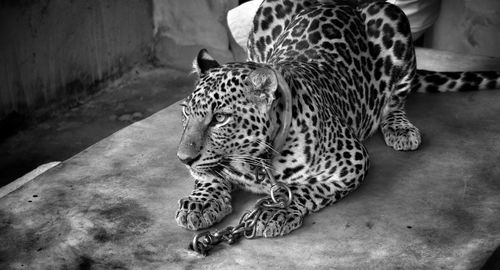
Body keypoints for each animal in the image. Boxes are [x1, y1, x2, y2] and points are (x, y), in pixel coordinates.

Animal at [174, 0, 498, 237]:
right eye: (186, 113)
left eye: (220, 118)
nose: (182, 158)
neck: (252, 163)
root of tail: (341, 3)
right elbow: (207, 176)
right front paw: (200, 204)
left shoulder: (353, 160)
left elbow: (305, 189)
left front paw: (276, 210)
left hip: (394, 21)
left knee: (396, 99)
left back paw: (400, 129)